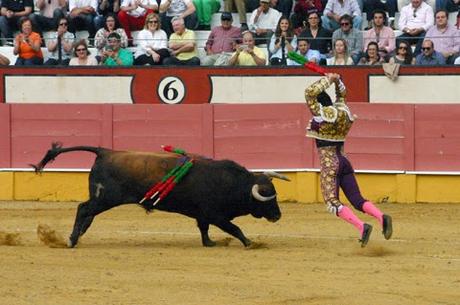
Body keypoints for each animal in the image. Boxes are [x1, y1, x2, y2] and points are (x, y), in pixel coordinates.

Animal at [32, 142, 290, 247]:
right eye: (269, 198)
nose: (278, 216)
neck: (234, 183)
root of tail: (105, 151)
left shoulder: (202, 215)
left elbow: (203, 230)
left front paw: (210, 243)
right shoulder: (216, 215)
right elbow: (234, 228)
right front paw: (250, 243)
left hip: (101, 198)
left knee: (87, 213)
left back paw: (77, 235)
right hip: (107, 198)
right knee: (83, 209)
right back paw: (72, 240)